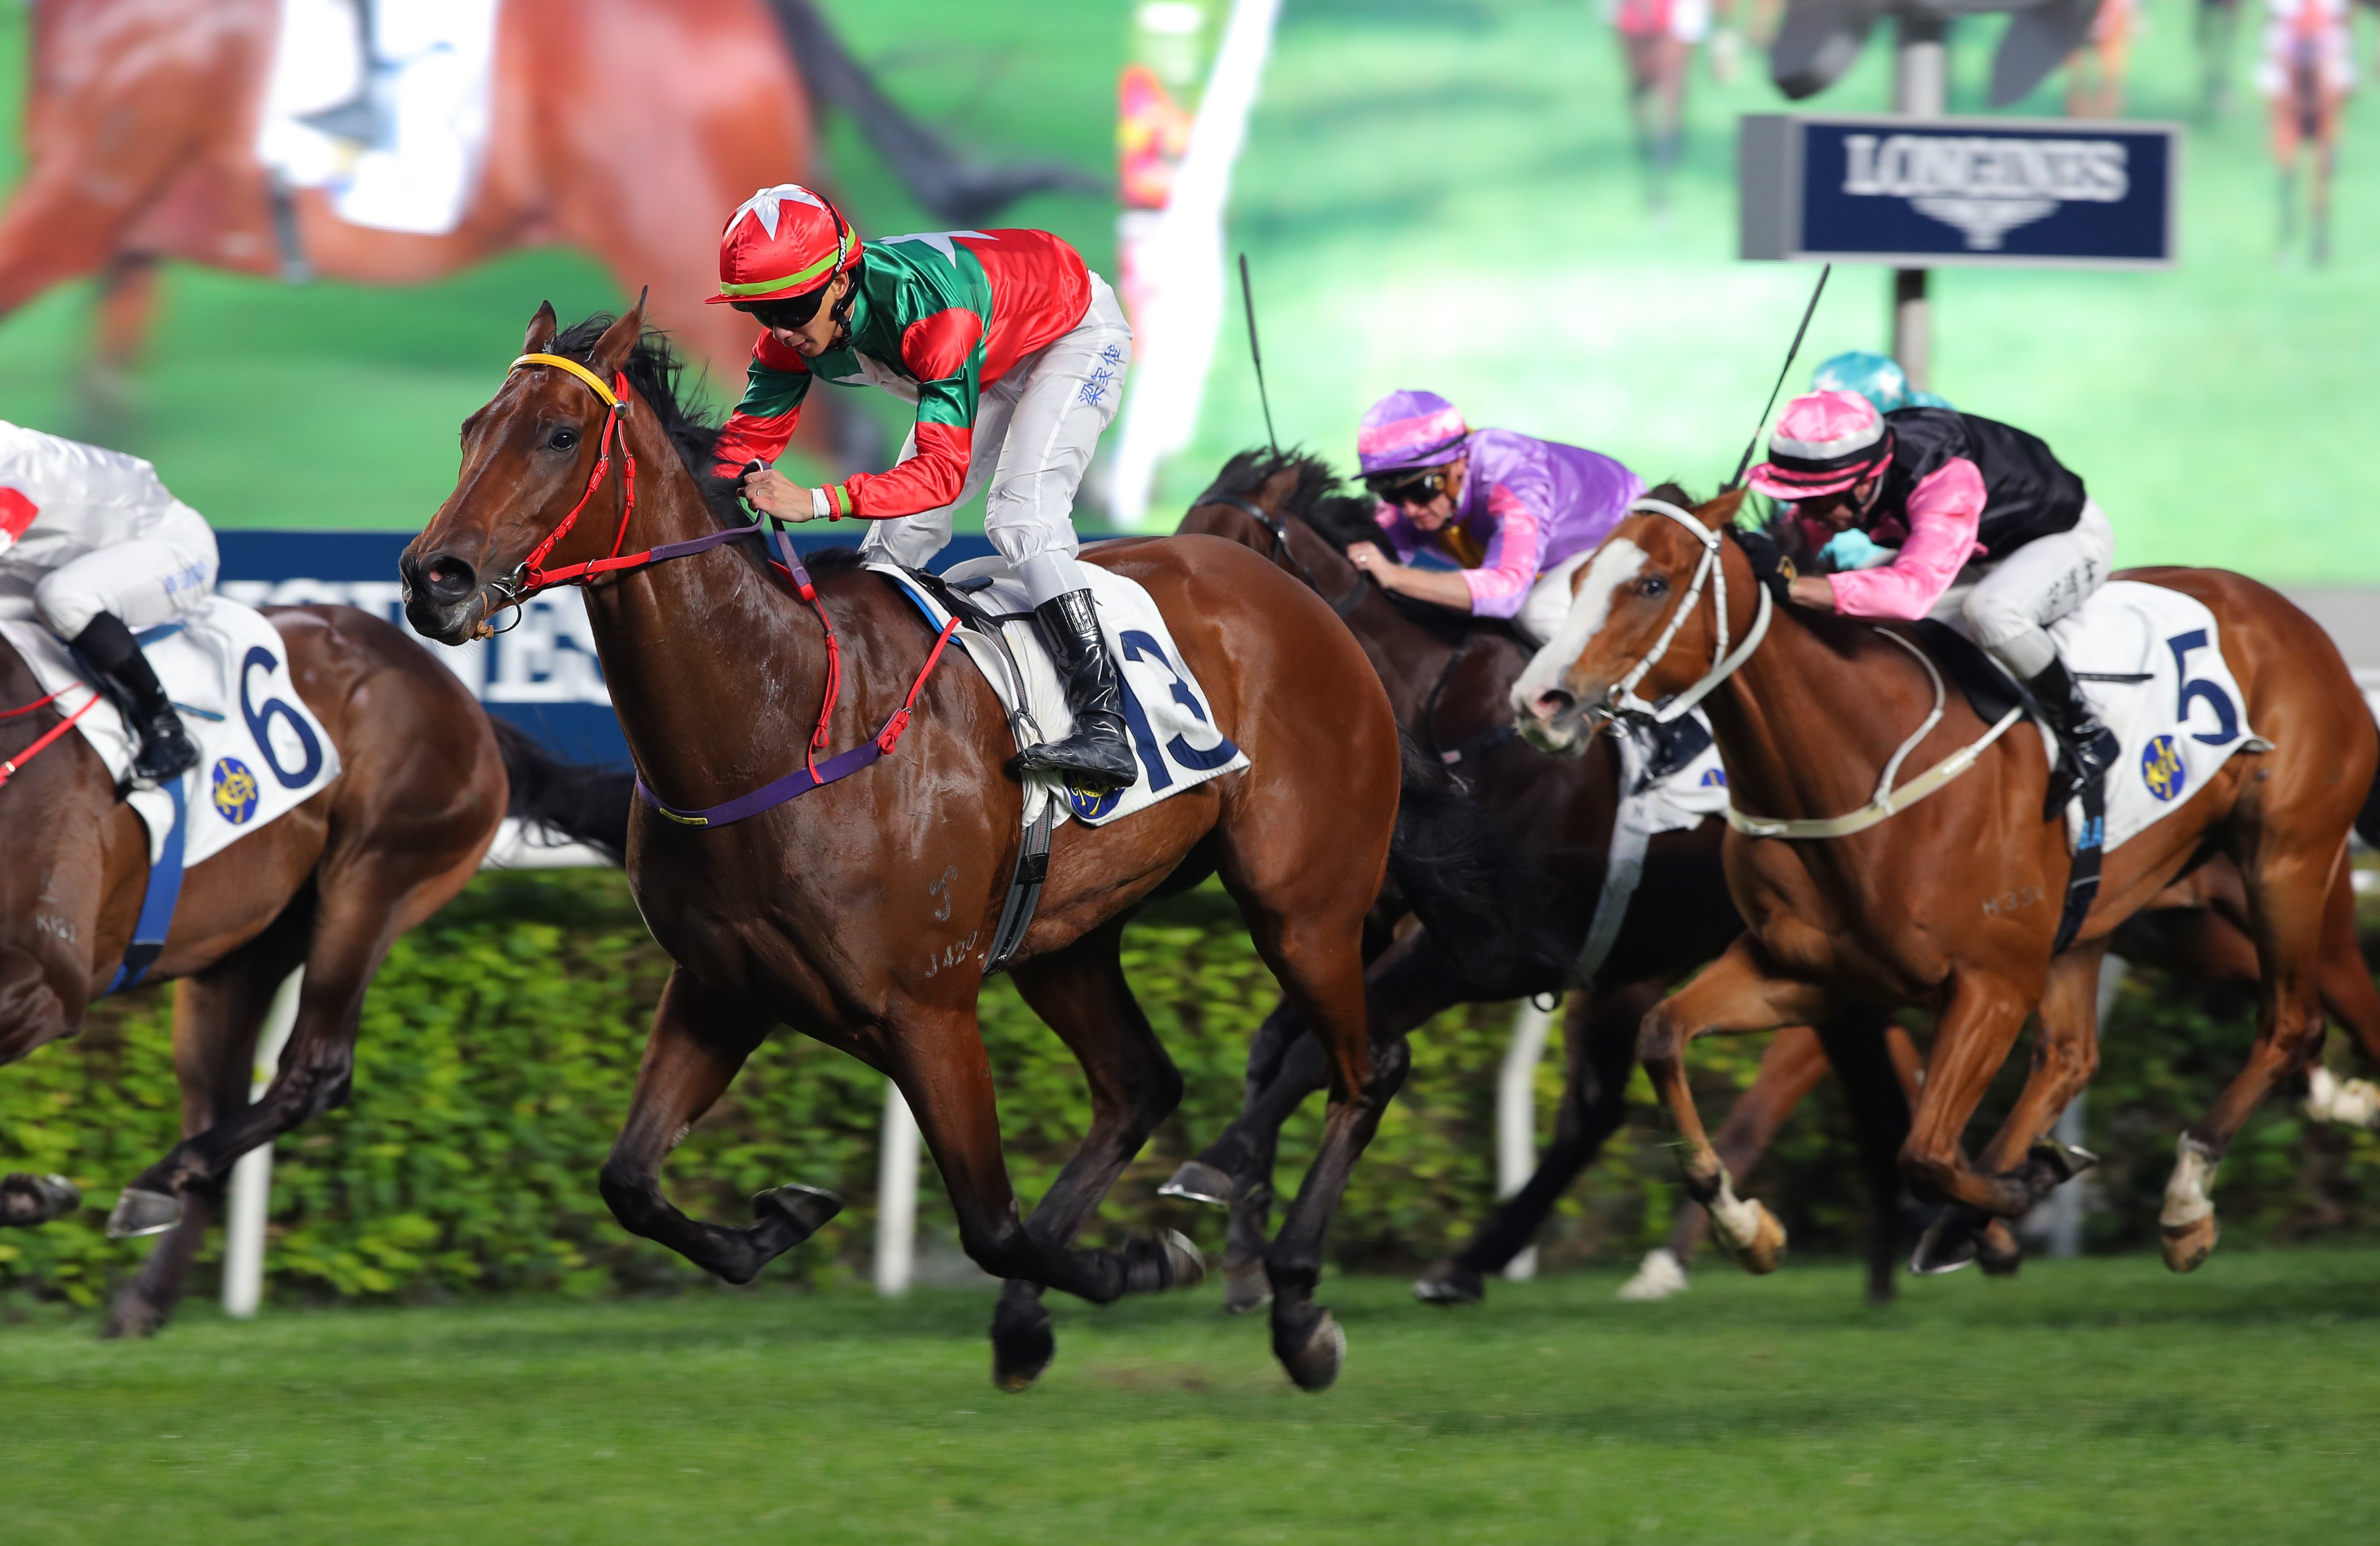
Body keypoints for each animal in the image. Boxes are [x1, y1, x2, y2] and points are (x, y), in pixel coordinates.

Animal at [2, 609, 614, 1332]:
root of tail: (464, 701)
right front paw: (32, 1193)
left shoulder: (48, 980)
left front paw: (34, 1192)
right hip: (243, 949)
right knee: (216, 1109)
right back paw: (143, 1294)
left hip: (373, 880)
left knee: (316, 1069)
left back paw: (156, 1185)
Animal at [395, 300, 1504, 1388]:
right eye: (469, 431)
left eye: (559, 435)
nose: (430, 578)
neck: (779, 719)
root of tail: (1304, 601)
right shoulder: (719, 986)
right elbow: (627, 1180)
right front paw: (780, 1219)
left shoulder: (926, 1011)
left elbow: (992, 1225)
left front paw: (1142, 1262)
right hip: (1066, 933)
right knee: (1141, 1083)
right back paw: (1041, 1315)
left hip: (1302, 903)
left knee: (1367, 1066)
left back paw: (1299, 1305)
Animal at [1171, 454, 1913, 1303]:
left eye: (1220, 560)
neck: (1450, 724)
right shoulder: (1370, 927)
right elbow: (1272, 1044)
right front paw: (1240, 1251)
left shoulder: (1470, 953)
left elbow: (1312, 1055)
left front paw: (1211, 1170)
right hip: (1648, 961)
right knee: (1603, 1111)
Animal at [1513, 487, 2370, 1275]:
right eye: (1580, 575)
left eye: (1651, 583)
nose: (1536, 702)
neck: (1855, 764)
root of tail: (2284, 614)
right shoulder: (1806, 973)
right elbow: (1662, 1035)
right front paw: (1746, 1228)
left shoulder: (1990, 984)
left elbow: (1922, 1151)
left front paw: (2019, 1192)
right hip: (2110, 920)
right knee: (2071, 1057)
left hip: (2285, 863)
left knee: (2291, 1022)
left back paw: (2185, 1202)